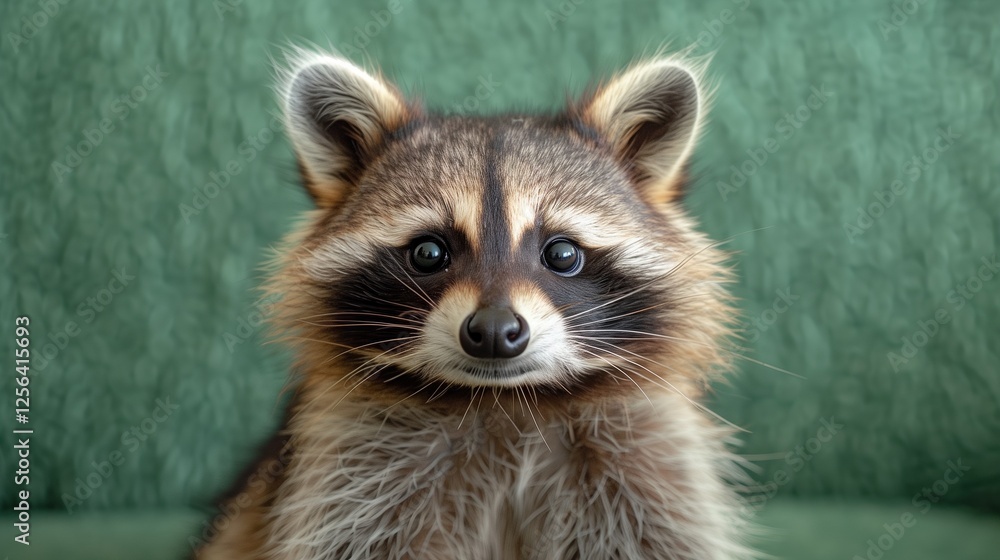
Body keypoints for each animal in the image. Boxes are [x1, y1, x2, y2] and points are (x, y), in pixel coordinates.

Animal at [195, 48, 752, 560]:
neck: (504, 403)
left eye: (562, 253)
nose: (493, 331)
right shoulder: (349, 475)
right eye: (429, 252)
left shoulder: (648, 467)